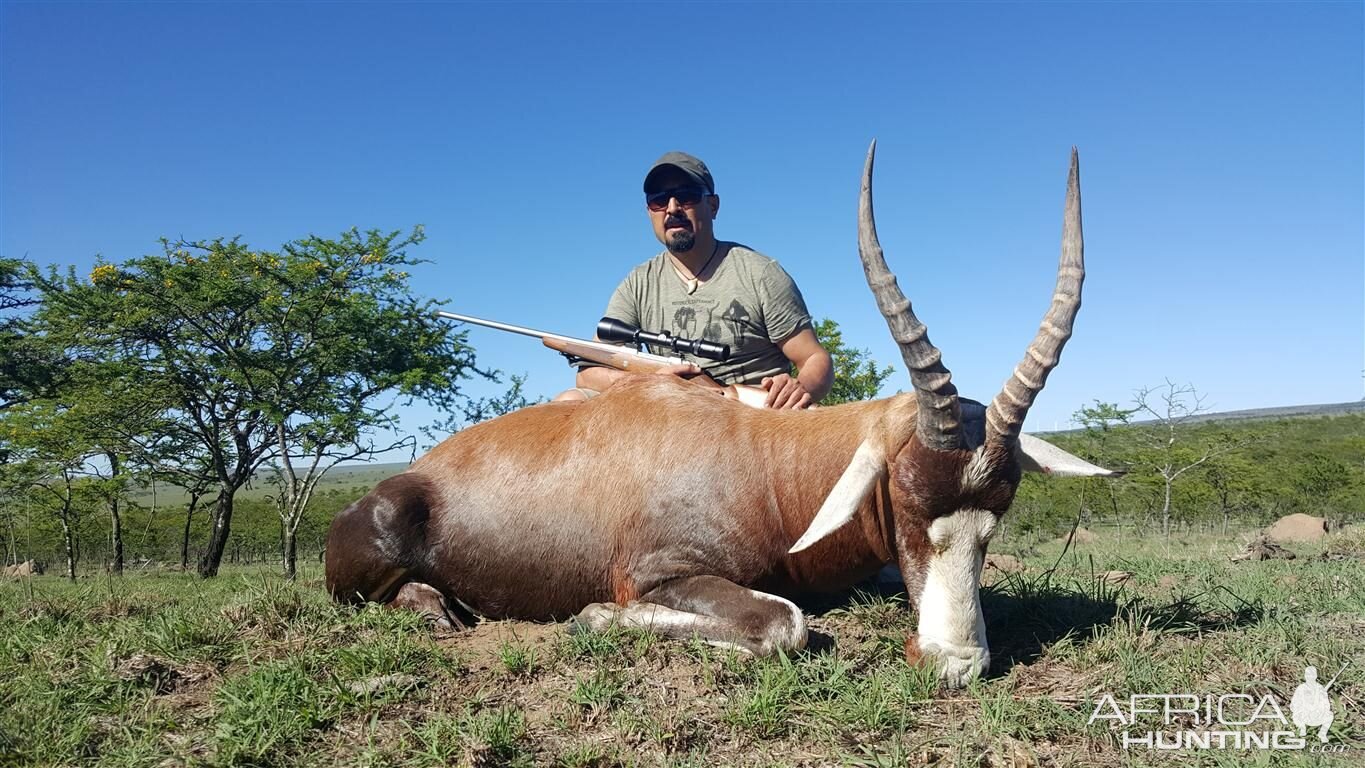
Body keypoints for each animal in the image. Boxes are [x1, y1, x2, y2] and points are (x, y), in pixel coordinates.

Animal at [327, 145, 1108, 690]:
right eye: (910, 504)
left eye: (996, 517)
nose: (955, 663)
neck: (759, 453)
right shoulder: (660, 573)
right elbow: (786, 623)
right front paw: (594, 617)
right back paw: (434, 607)